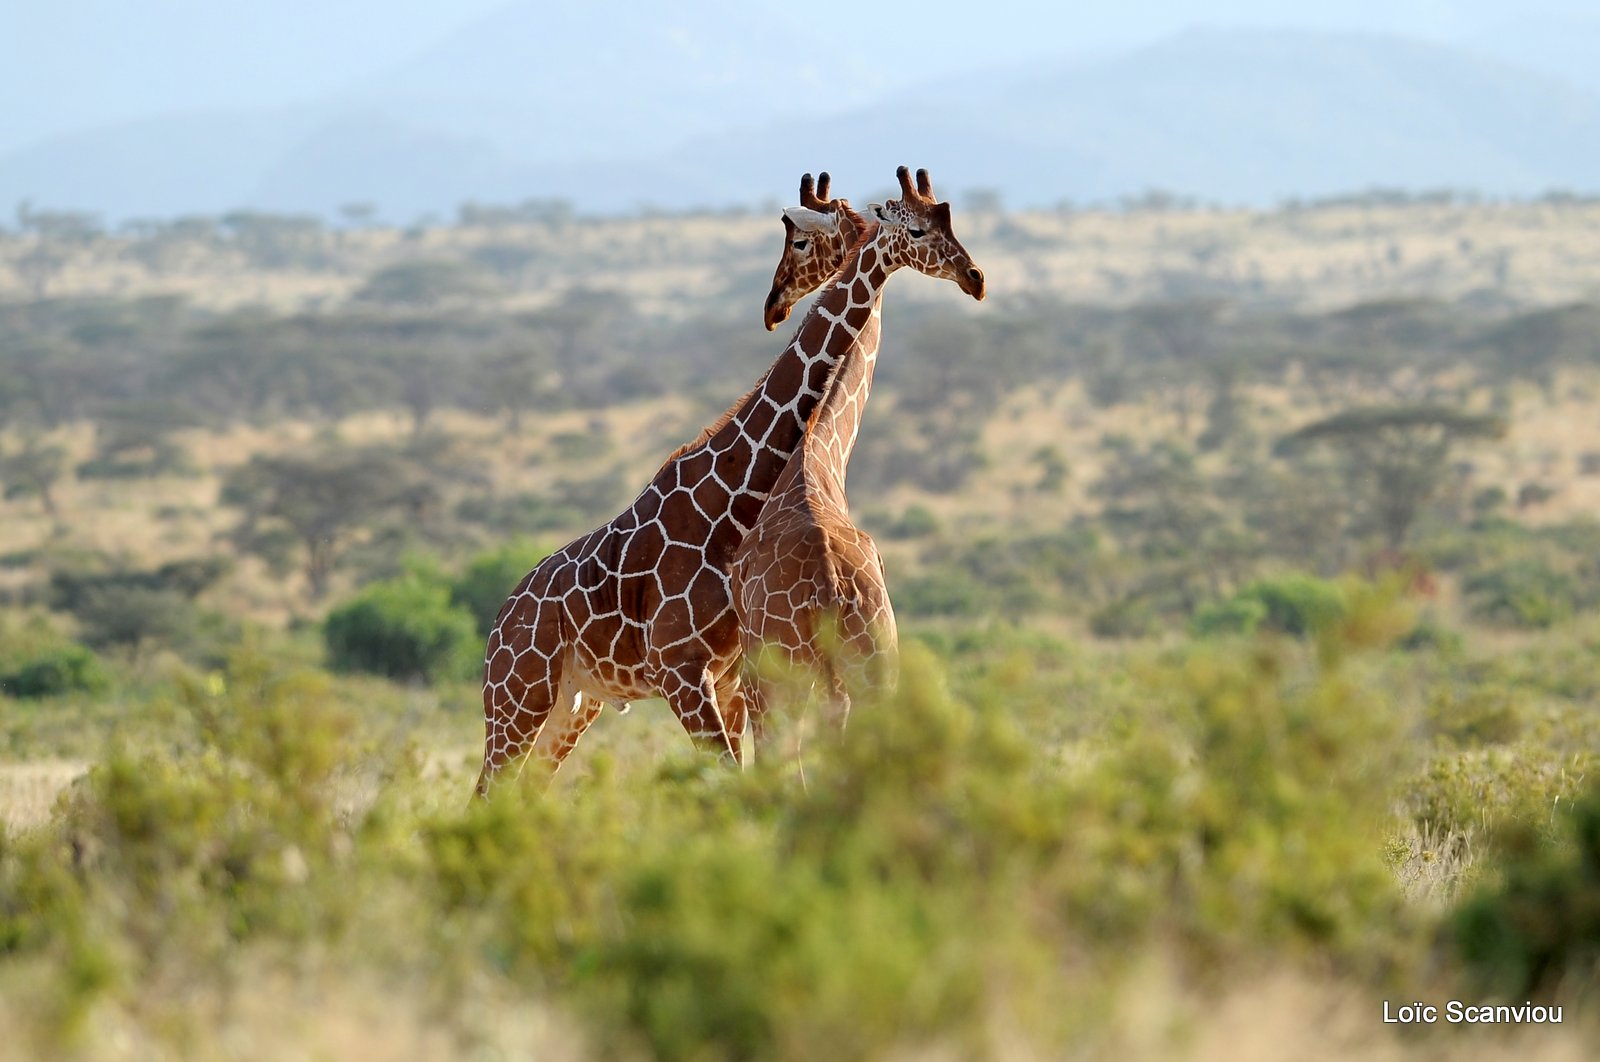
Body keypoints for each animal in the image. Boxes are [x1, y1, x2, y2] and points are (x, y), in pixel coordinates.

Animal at [470, 166, 985, 796]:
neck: (737, 500)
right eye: (915, 227)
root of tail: (498, 625)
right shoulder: (684, 672)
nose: (975, 278)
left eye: (800, 241)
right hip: (517, 699)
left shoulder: (726, 674)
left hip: (572, 705)